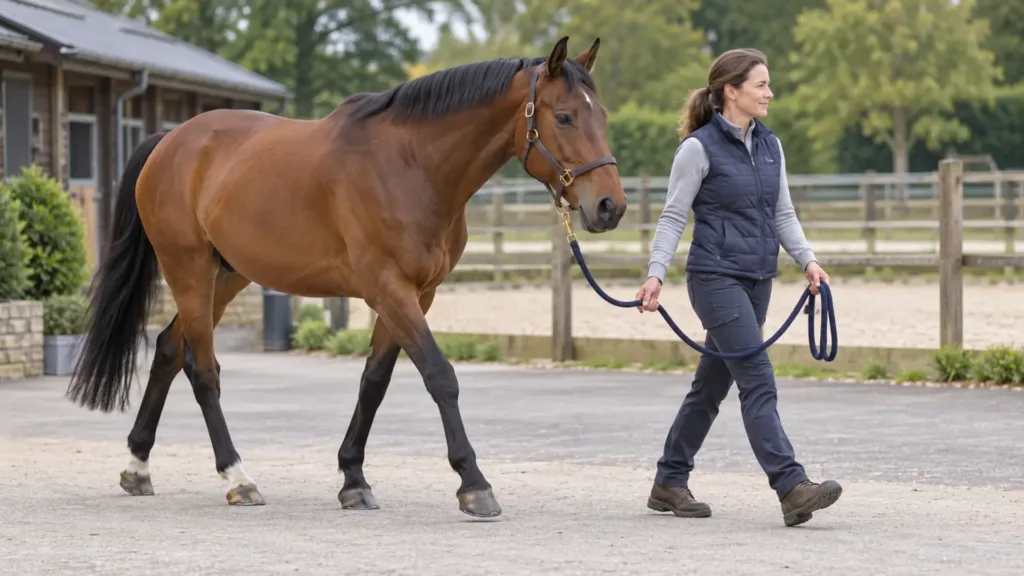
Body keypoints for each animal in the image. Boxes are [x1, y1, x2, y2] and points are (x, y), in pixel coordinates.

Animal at [65, 36, 627, 518]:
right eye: (564, 116)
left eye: (601, 115)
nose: (610, 207)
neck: (411, 167)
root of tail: (169, 142)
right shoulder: (388, 287)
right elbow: (439, 376)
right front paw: (474, 484)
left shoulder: (417, 294)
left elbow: (374, 382)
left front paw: (353, 479)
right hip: (189, 269)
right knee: (201, 369)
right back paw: (238, 478)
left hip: (225, 277)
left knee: (166, 349)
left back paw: (137, 466)